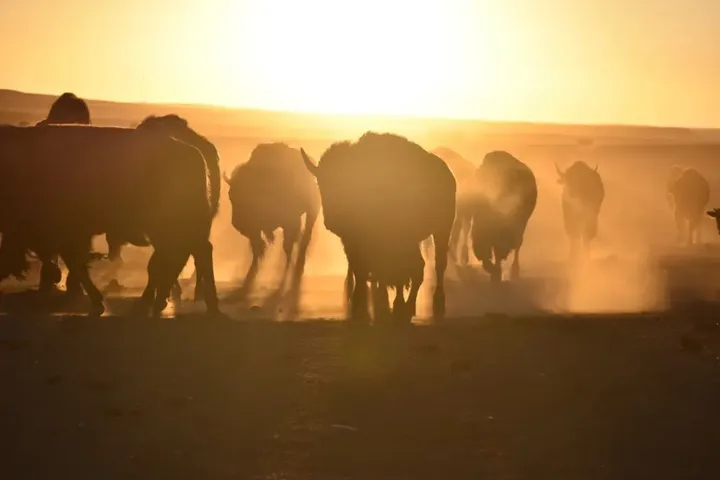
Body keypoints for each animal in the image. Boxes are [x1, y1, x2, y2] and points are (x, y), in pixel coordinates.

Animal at [224, 143, 320, 292]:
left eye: (248, 195)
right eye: (230, 195)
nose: (237, 223)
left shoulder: (290, 221)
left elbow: (287, 246)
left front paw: (284, 274)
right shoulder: (255, 230)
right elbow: (257, 248)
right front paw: (250, 275)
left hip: (312, 211)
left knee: (305, 237)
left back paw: (298, 267)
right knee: (299, 237)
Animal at [301, 132, 456, 321]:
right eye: (320, 183)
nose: (332, 220)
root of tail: (448, 175)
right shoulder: (352, 241)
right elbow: (360, 268)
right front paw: (360, 304)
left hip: (442, 229)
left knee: (435, 264)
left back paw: (430, 304)